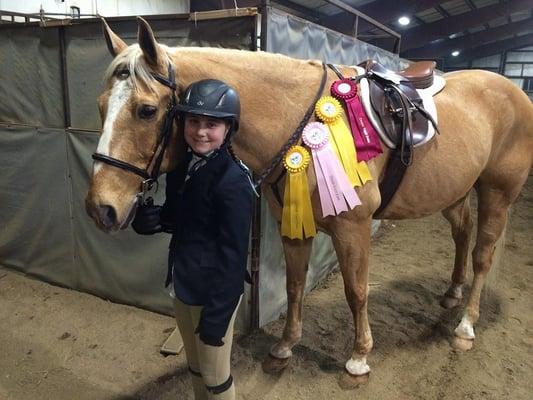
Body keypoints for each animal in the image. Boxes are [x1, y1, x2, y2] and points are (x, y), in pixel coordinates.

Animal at [85, 17, 532, 386]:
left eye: (146, 110)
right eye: (101, 105)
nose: (100, 208)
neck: (304, 123)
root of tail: (512, 90)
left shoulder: (353, 228)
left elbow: (356, 290)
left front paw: (358, 359)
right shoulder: (293, 225)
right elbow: (295, 284)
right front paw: (284, 348)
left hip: (497, 192)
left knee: (483, 255)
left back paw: (465, 326)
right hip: (455, 192)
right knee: (463, 235)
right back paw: (452, 293)